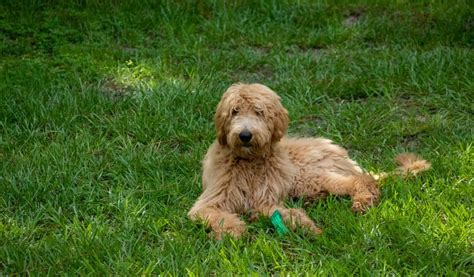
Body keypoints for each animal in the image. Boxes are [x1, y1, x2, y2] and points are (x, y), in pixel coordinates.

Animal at [187, 82, 432, 237]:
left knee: (362, 182)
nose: (245, 135)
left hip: (307, 175)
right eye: (234, 111)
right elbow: (219, 216)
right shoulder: (210, 202)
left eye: (259, 112)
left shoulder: (266, 198)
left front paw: (306, 227)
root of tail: (340, 153)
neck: (249, 162)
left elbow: (283, 213)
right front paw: (234, 231)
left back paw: (361, 202)